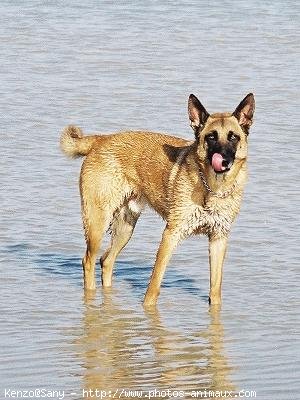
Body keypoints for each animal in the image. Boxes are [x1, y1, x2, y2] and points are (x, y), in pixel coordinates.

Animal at [59, 94, 254, 306]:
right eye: (211, 137)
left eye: (233, 137)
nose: (224, 160)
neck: (212, 188)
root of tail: (100, 139)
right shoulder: (170, 235)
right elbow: (153, 287)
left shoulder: (218, 239)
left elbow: (215, 290)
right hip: (98, 223)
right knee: (88, 260)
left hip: (125, 228)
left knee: (106, 261)